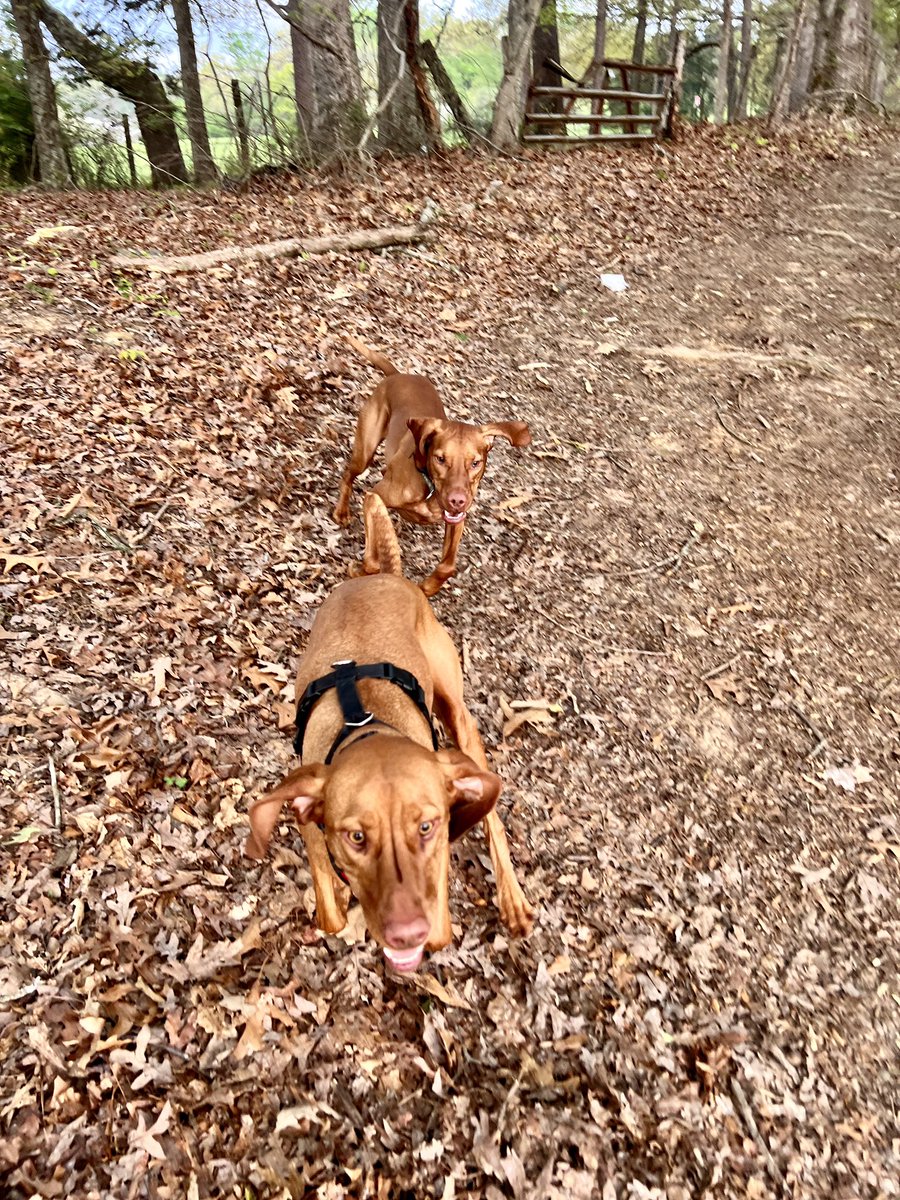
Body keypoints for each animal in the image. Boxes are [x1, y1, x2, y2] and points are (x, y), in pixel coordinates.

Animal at [244, 492, 535, 969]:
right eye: (357, 836)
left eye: (427, 827)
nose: (405, 933)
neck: (368, 727)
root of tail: (386, 576)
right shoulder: (311, 824)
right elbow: (331, 913)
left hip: (460, 722)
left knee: (492, 819)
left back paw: (512, 900)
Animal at [333, 336, 532, 597]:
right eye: (440, 459)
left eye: (475, 463)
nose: (457, 500)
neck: (429, 490)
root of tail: (398, 375)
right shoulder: (373, 497)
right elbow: (374, 559)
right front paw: (360, 570)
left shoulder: (456, 520)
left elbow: (448, 565)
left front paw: (427, 588)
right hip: (365, 450)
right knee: (349, 473)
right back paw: (341, 511)